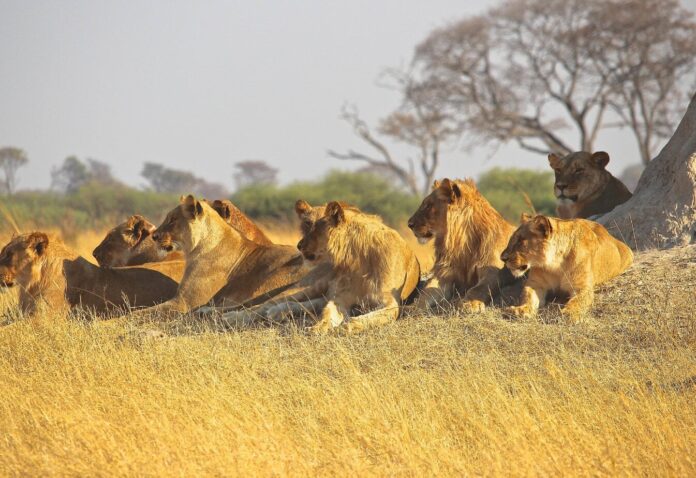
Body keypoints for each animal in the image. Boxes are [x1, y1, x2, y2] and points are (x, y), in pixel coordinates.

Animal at [297, 201, 420, 334]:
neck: (359, 259)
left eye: (315, 229)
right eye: (307, 224)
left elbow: (368, 318)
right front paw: (317, 327)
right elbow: (327, 313)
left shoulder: (391, 302)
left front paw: (346, 326)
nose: (299, 245)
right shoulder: (340, 297)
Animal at [407, 178, 517, 313]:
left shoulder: (494, 272)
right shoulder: (444, 274)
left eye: (428, 206)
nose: (409, 224)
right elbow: (426, 292)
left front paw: (469, 304)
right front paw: (413, 307)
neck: (461, 244)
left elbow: (479, 288)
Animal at [501, 214, 633, 322]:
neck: (555, 264)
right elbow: (528, 296)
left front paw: (569, 313)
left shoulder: (582, 288)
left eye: (520, 241)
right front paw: (520, 310)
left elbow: (577, 301)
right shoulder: (535, 284)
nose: (502, 258)